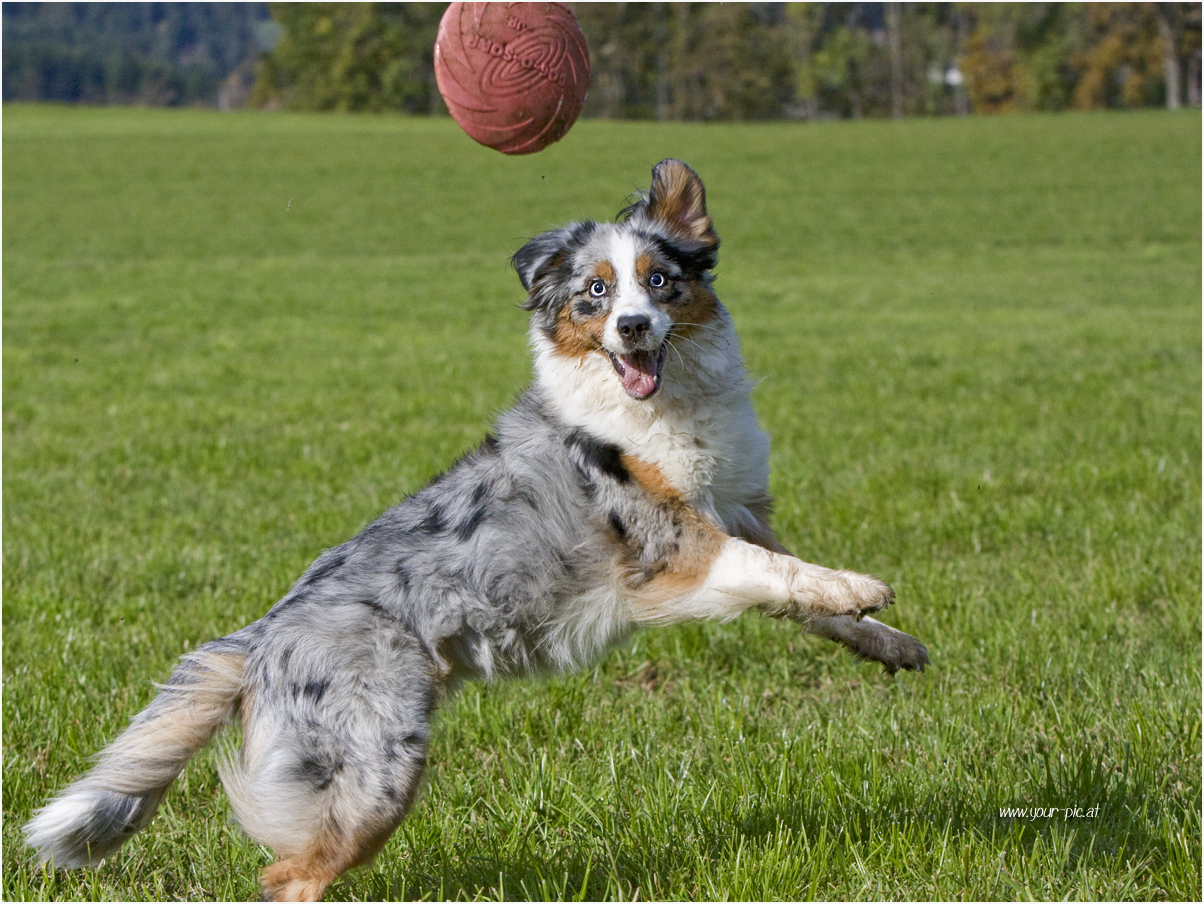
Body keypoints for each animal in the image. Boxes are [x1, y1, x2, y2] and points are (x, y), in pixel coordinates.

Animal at [25, 158, 929, 900]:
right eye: (595, 293)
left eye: (662, 282)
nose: (634, 327)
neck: (662, 406)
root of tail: (261, 634)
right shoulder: (679, 551)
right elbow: (785, 575)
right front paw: (864, 585)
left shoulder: (739, 512)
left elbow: (805, 598)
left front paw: (890, 642)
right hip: (380, 771)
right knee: (286, 874)